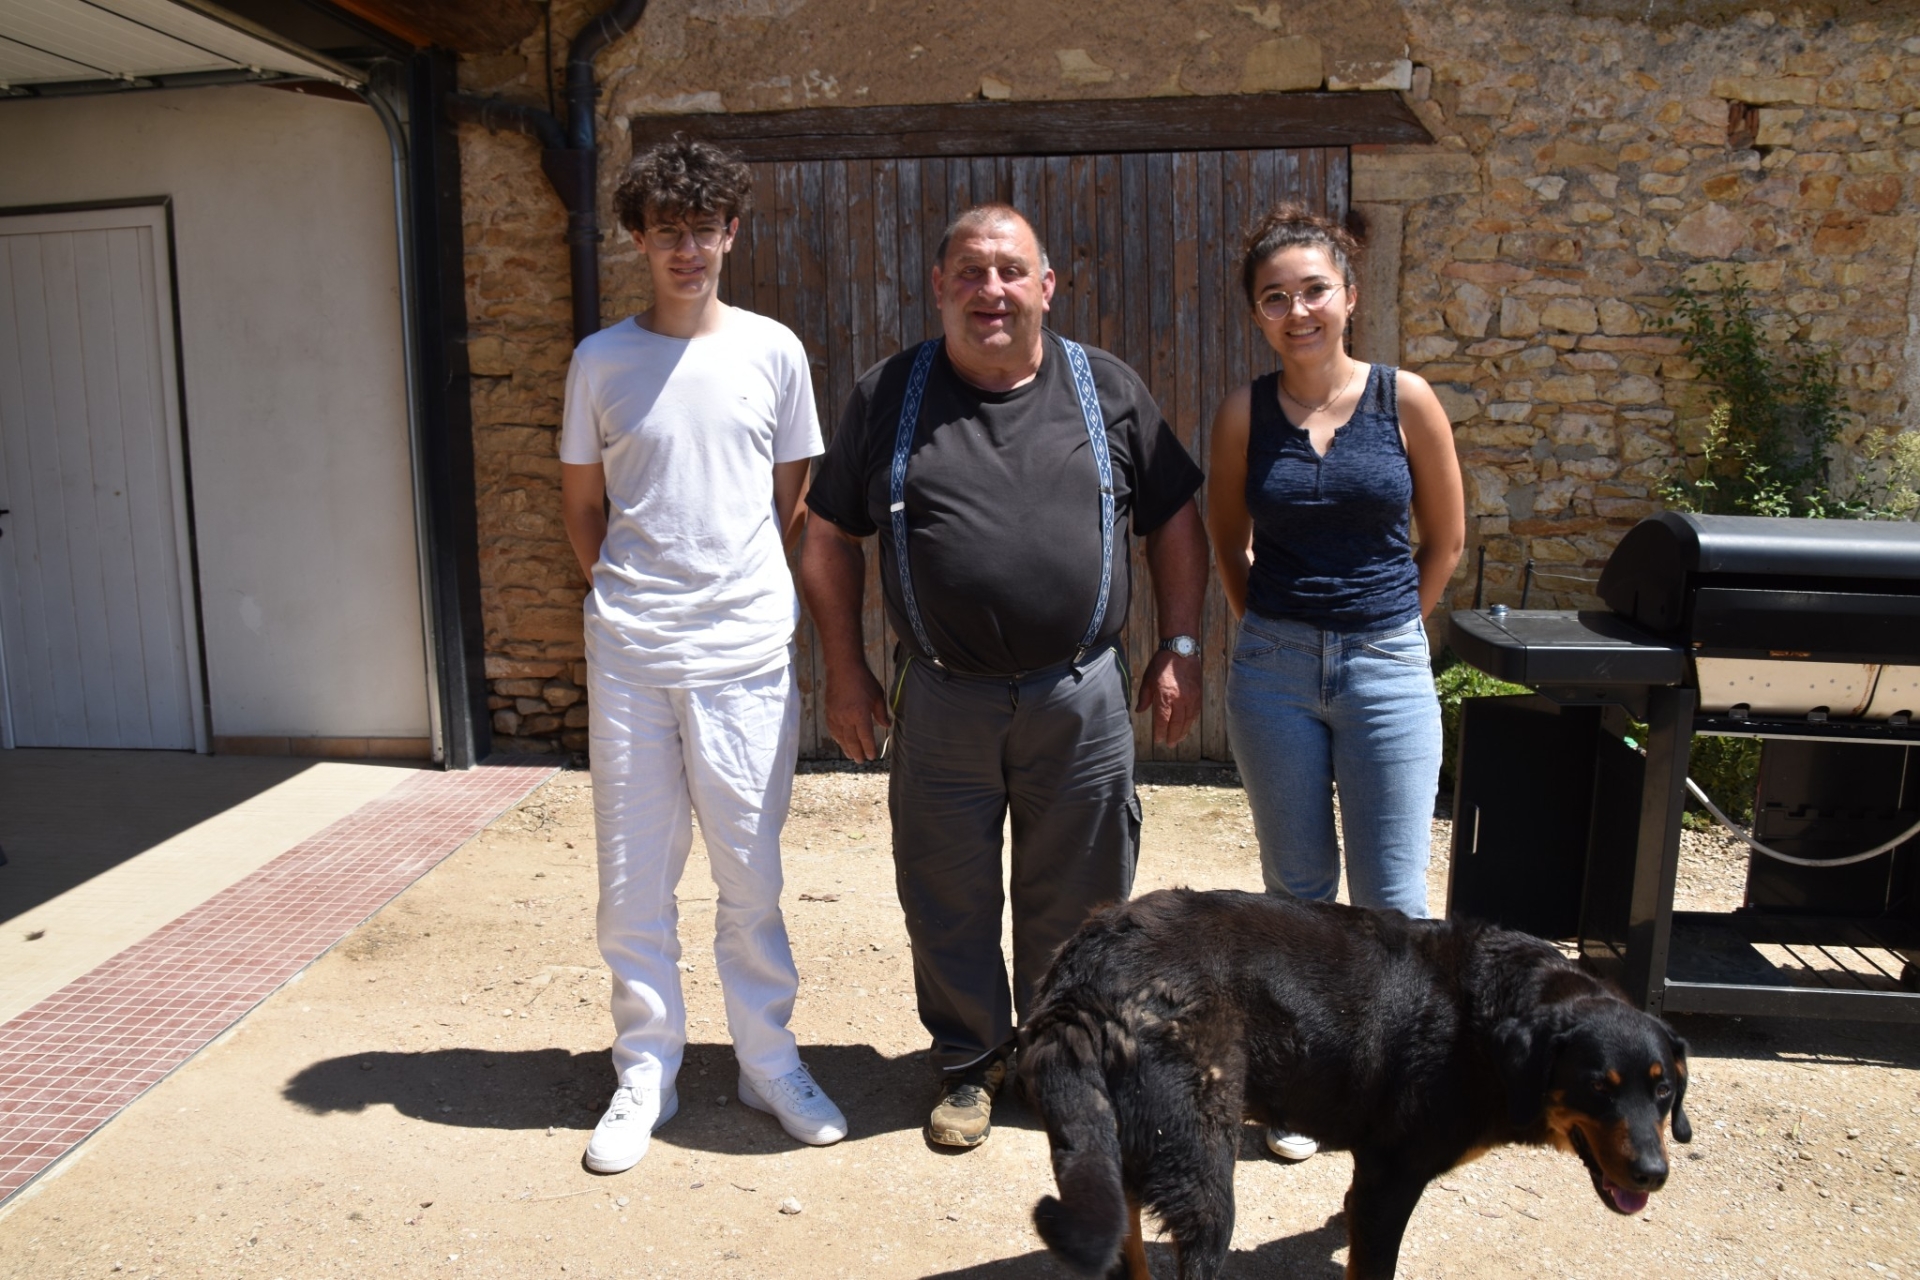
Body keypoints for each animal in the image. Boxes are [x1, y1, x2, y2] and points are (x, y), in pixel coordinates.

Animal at [1029, 890, 1689, 1280]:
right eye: (1597, 1087)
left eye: (1662, 1091)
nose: (1654, 1175)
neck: (1487, 1023)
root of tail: (1083, 971)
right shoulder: (1392, 1178)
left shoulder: (1371, 1182)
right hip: (1203, 1169)